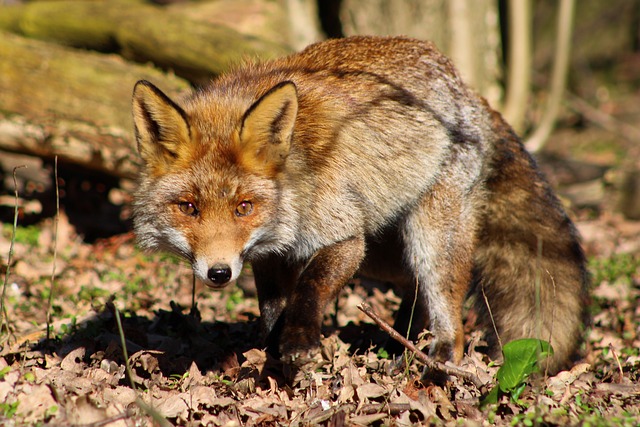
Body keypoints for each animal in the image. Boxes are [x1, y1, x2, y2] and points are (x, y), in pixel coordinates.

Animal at [131, 35, 592, 372]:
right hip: (386, 252)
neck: (295, 182)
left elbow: (310, 285)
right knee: (413, 286)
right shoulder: (268, 254)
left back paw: (437, 359)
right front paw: (275, 351)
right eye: (188, 207)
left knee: (449, 310)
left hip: (426, 238)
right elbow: (273, 306)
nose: (219, 273)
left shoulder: (345, 236)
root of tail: (466, 90)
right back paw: (402, 338)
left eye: (244, 207)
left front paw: (299, 341)